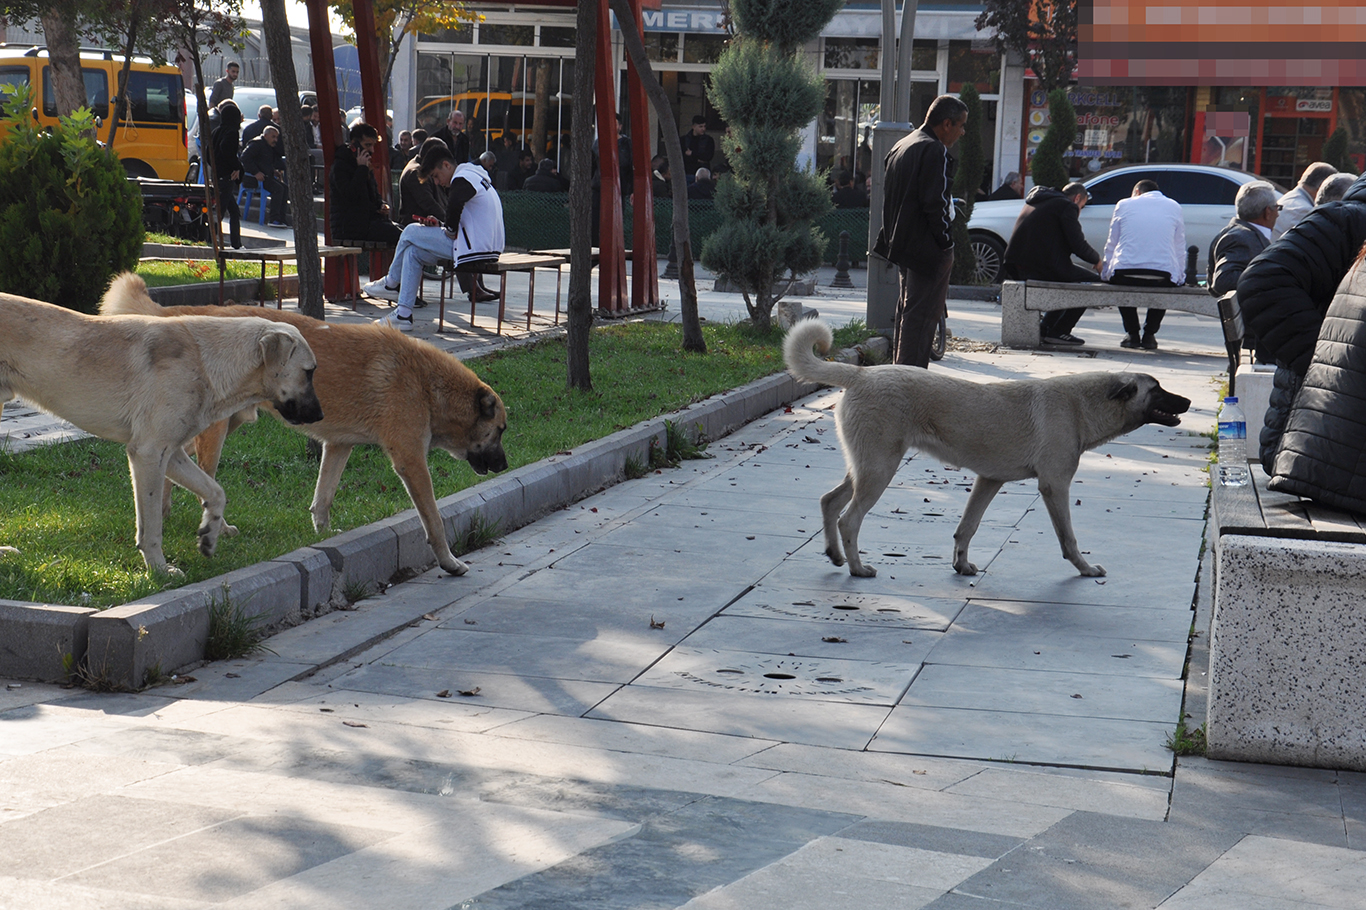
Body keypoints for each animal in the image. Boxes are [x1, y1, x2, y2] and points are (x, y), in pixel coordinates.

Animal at [0, 285, 321, 568]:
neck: (206, 362)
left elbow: (215, 491)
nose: (319, 416)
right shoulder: (149, 453)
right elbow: (152, 525)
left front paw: (210, 534)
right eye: (309, 372)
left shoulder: (172, 453)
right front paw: (158, 570)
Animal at [99, 273, 510, 576]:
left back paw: (167, 514)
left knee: (174, 463)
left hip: (219, 424)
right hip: (214, 432)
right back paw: (210, 527)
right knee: (198, 475)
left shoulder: (338, 446)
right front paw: (449, 561)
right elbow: (434, 520)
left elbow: (323, 498)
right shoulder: (411, 462)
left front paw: (324, 535)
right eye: (501, 430)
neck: (428, 385)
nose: (506, 465)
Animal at [786, 318, 1191, 573]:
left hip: (865, 466)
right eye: (1157, 389)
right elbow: (1069, 539)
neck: (1082, 405)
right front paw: (1086, 569)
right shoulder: (1055, 486)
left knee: (830, 502)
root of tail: (860, 373)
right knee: (849, 519)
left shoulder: (988, 481)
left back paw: (835, 556)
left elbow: (967, 527)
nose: (1187, 401)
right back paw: (857, 568)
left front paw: (961, 564)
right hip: (879, 469)